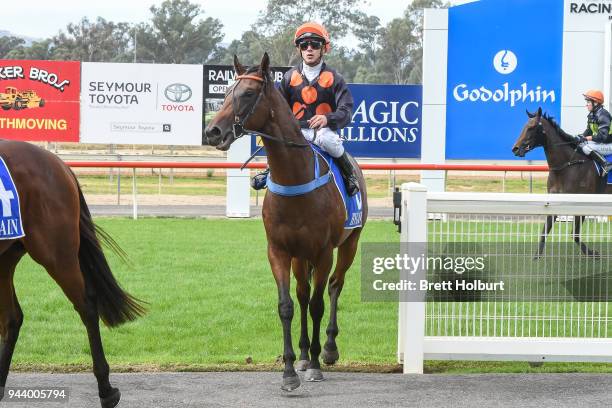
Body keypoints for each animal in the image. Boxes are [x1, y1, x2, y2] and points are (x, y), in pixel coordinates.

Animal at [0, 139, 143, 404]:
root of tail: (59, 164)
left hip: (57, 252)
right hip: (6, 256)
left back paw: (107, 390)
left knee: (87, 306)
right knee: (11, 318)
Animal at [204, 52, 368, 390]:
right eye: (225, 93)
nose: (212, 131)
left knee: (335, 286)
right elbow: (287, 305)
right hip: (299, 256)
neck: (296, 178)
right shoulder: (279, 250)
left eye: (248, 94)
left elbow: (319, 304)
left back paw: (328, 349)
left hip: (350, 243)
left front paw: (317, 362)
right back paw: (305, 354)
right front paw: (291, 368)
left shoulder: (323, 252)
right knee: (303, 294)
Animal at [512, 107, 608, 256]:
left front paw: (592, 253)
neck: (567, 165)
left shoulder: (581, 202)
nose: (515, 148)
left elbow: (575, 234)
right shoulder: (554, 200)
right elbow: (545, 230)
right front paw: (536, 257)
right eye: (525, 126)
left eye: (532, 127)